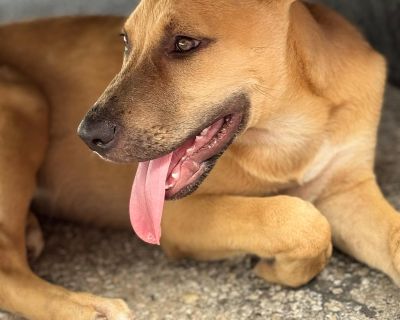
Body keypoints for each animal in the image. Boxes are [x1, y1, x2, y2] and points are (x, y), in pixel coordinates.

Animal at [0, 0, 398, 318]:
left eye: (185, 43)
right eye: (126, 41)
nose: (87, 136)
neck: (293, 123)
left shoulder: (346, 188)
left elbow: (391, 235)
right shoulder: (174, 216)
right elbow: (301, 218)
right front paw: (281, 269)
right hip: (24, 100)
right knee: (8, 268)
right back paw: (88, 307)